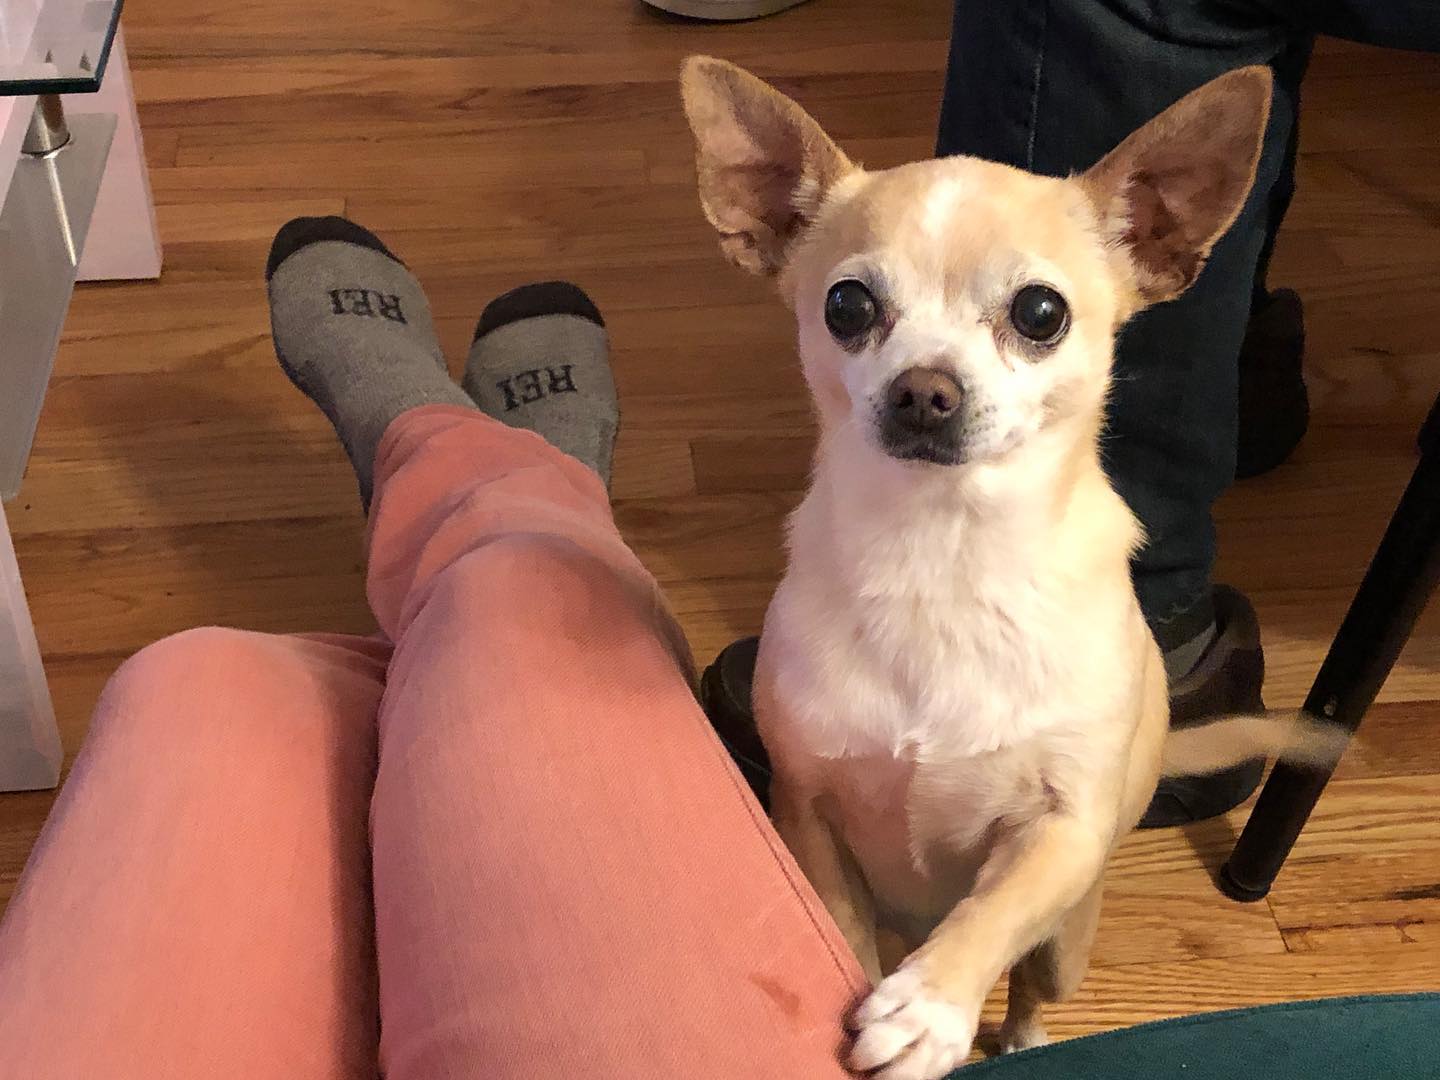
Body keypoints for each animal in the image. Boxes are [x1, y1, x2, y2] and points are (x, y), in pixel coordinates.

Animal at [680, 57, 1343, 1079]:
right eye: (847, 306)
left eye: (1041, 314)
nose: (924, 391)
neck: (942, 554)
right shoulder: (808, 812)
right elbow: (842, 931)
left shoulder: (1061, 831)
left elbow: (995, 908)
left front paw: (930, 1010)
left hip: (1072, 935)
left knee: (1034, 980)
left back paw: (1019, 1037)